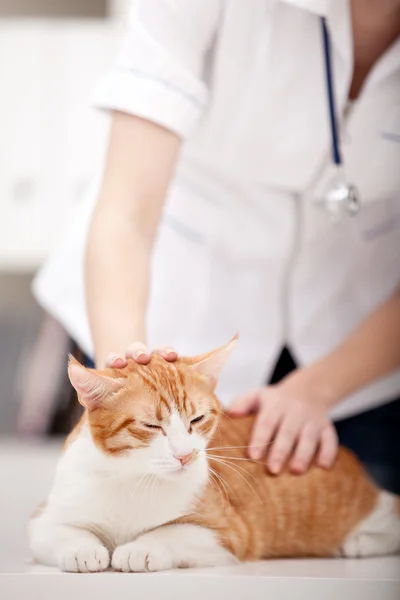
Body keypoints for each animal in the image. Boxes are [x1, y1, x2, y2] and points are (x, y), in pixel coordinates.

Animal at [29, 338, 400, 572]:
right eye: (151, 426)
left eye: (197, 420)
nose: (185, 455)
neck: (135, 479)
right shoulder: (44, 519)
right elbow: (63, 531)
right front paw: (83, 548)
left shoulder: (229, 531)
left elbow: (170, 532)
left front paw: (140, 548)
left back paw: (360, 542)